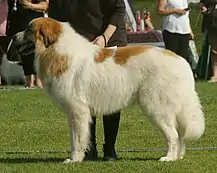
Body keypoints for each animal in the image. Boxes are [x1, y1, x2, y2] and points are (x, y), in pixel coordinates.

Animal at [12, 17, 204, 164]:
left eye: (29, 29)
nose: (13, 36)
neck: (56, 50)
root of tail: (180, 60)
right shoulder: (76, 113)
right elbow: (79, 137)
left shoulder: (77, 111)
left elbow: (76, 139)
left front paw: (74, 160)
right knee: (180, 134)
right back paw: (178, 157)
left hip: (155, 107)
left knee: (173, 135)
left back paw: (168, 158)